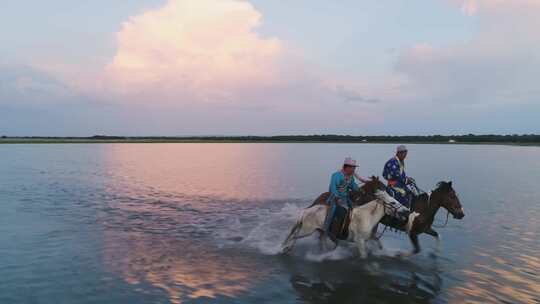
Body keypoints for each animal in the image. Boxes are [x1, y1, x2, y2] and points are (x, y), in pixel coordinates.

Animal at [282, 190, 410, 258]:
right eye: (393, 202)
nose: (406, 211)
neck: (367, 216)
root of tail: (306, 211)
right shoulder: (360, 240)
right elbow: (363, 255)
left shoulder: (370, 237)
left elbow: (379, 244)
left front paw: (385, 252)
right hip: (307, 230)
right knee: (295, 236)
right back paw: (285, 249)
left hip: (320, 231)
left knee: (319, 240)